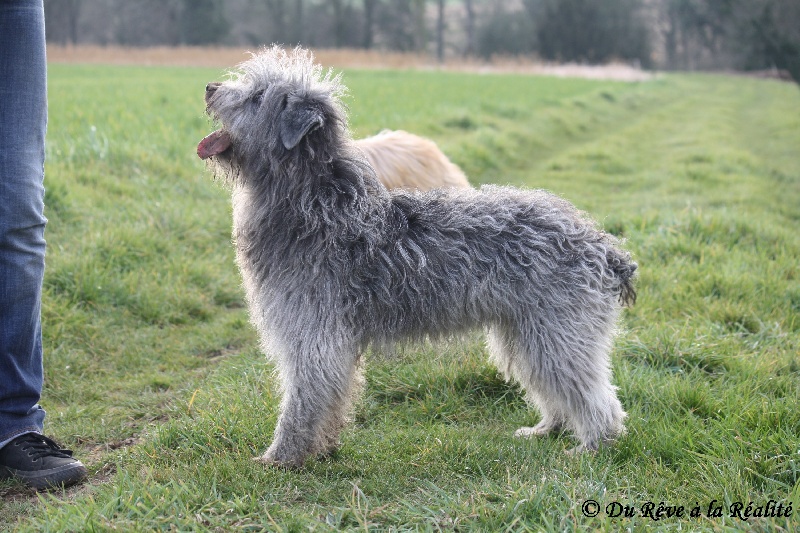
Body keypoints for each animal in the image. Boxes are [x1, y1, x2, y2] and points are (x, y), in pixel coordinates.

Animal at [198, 47, 636, 468]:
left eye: (257, 97)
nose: (209, 87)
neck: (314, 204)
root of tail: (602, 246)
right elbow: (330, 401)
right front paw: (322, 450)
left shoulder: (314, 335)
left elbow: (304, 401)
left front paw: (282, 457)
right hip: (526, 333)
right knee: (554, 386)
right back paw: (548, 429)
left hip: (556, 331)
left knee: (595, 397)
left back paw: (593, 446)